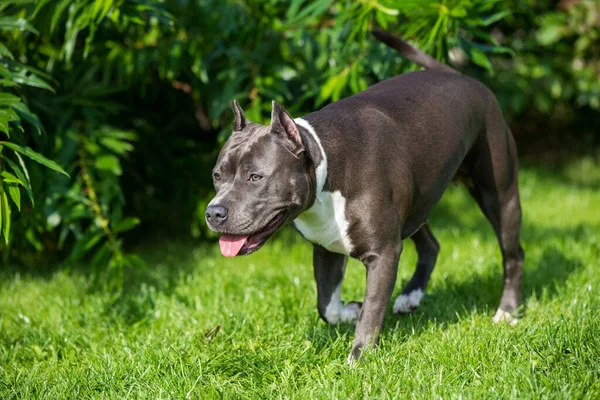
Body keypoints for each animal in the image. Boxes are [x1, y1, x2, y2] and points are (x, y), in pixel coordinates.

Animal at [207, 30, 524, 362]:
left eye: (255, 177)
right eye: (217, 175)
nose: (213, 212)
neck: (326, 166)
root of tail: (460, 75)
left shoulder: (383, 253)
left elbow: (372, 309)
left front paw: (358, 358)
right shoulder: (326, 248)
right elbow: (326, 305)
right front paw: (349, 312)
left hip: (498, 194)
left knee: (513, 254)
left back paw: (507, 311)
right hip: (416, 204)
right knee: (431, 245)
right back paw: (411, 294)